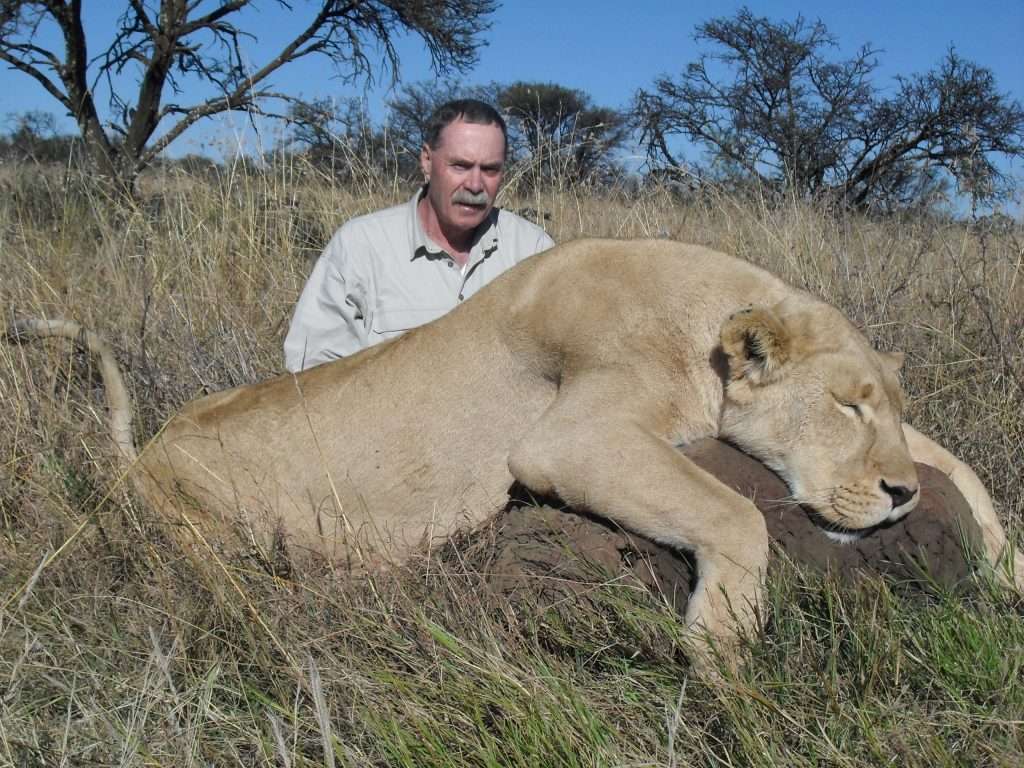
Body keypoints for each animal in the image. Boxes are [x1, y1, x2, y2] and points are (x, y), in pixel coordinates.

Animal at [9, 239, 1021, 659]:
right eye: (845, 408)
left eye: (883, 407)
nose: (899, 496)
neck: (700, 311)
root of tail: (140, 452)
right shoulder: (566, 439)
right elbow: (737, 511)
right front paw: (722, 646)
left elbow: (959, 461)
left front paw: (1006, 569)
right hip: (200, 538)